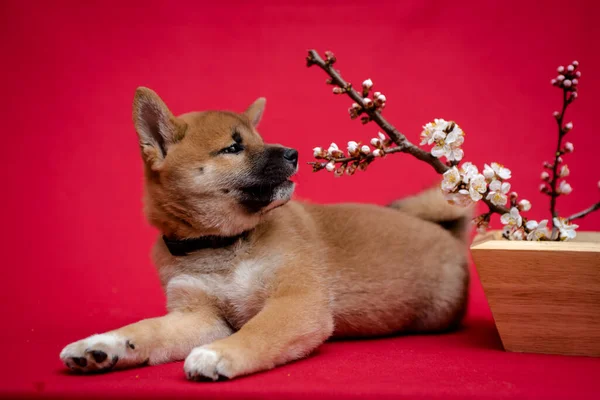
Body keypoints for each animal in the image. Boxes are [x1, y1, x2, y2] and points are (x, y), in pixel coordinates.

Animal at [61, 87, 474, 382]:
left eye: (259, 139)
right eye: (233, 147)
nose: (293, 153)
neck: (222, 247)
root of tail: (445, 232)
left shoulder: (296, 302)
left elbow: (259, 330)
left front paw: (221, 353)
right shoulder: (200, 316)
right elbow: (146, 329)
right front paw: (103, 344)